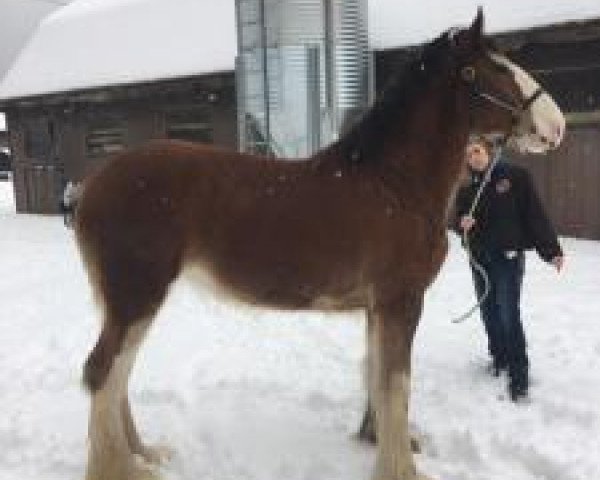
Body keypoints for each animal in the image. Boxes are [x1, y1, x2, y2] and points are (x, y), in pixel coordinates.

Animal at [74, 10, 564, 480]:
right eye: (496, 69)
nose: (556, 125)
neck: (393, 184)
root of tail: (92, 186)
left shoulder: (376, 308)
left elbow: (376, 374)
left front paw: (374, 439)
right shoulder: (401, 301)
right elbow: (397, 383)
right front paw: (400, 469)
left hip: (131, 301)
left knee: (119, 370)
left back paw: (142, 453)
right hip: (138, 294)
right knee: (102, 369)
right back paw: (119, 468)